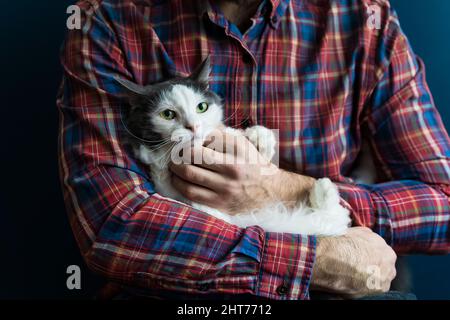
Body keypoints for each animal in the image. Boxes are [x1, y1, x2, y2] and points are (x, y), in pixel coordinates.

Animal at [115, 57, 352, 236]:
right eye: (167, 114)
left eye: (201, 107)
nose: (193, 126)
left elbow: (252, 142)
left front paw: (259, 137)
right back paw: (324, 188)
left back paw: (324, 187)